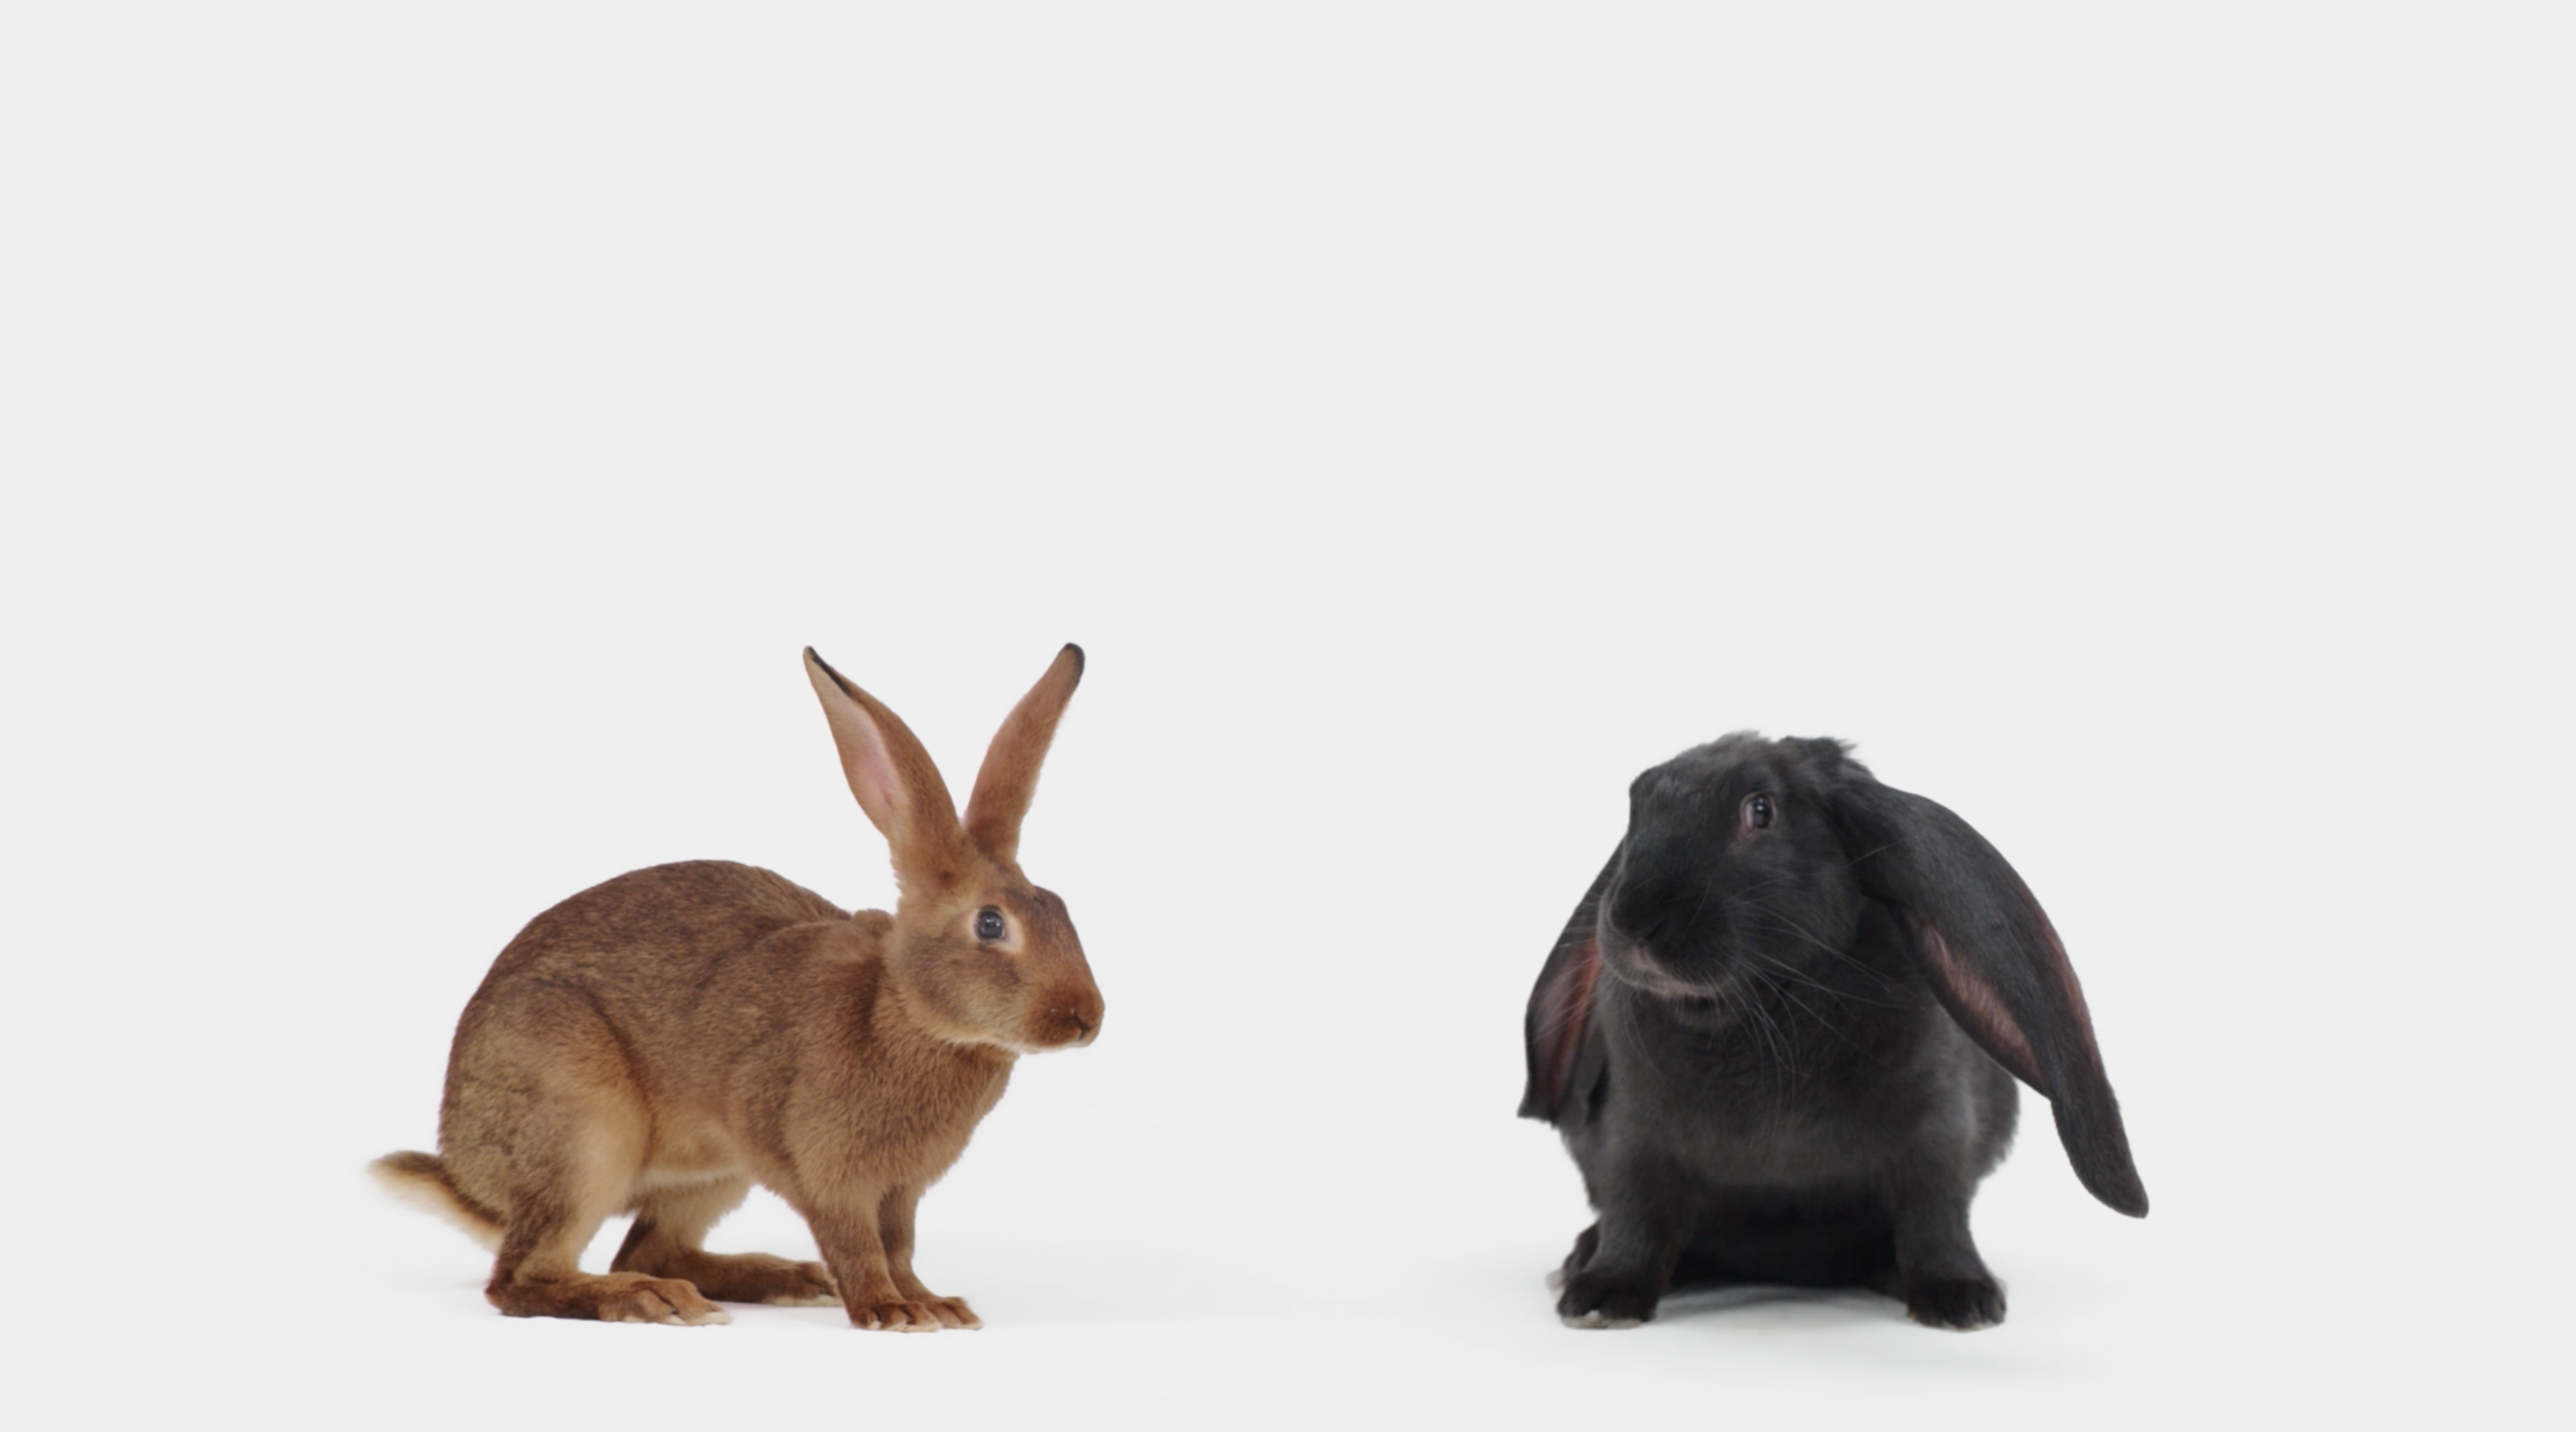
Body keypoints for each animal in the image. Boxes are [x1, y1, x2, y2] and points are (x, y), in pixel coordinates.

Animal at [372, 644, 1102, 1331]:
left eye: (1062, 907)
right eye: (991, 924)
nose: (1087, 1018)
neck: (898, 1009)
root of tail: (469, 1177)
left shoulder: (900, 1191)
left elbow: (899, 1248)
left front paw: (933, 1304)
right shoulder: (824, 1172)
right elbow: (858, 1245)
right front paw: (890, 1311)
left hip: (713, 1173)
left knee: (649, 1248)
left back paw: (777, 1281)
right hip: (582, 1133)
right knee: (525, 1277)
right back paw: (649, 1301)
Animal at [1519, 734, 2145, 1331]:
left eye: (1761, 810)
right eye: (1637, 806)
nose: (1635, 922)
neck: (1755, 1011)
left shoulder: (1939, 1133)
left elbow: (1936, 1214)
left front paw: (1961, 1301)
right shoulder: (1631, 1139)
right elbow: (1635, 1215)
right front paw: (1602, 1297)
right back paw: (1581, 1260)